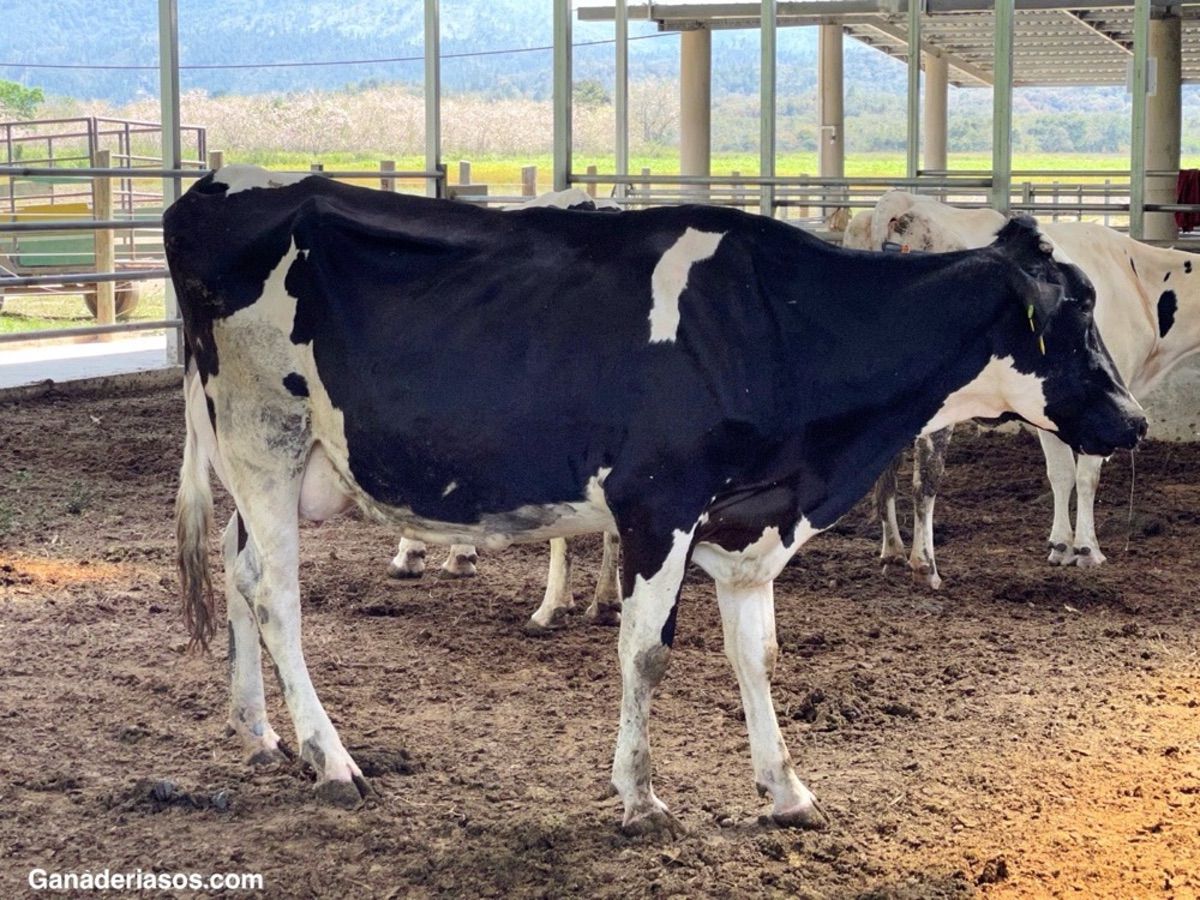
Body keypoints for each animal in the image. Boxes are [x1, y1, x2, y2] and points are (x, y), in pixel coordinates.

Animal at [169, 165, 1142, 835]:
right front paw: (638, 796)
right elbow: (645, 654)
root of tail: (212, 191)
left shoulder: (751, 523)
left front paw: (786, 789)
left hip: (277, 466)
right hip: (264, 437)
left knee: (240, 572)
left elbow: (756, 656)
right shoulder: (655, 503)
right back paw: (330, 758)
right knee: (277, 597)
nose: (1133, 420)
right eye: (1073, 316)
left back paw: (258, 731)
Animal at [849, 189, 1195, 585]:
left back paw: (892, 552)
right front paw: (1086, 549)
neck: (1138, 282)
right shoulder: (1093, 408)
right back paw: (925, 564)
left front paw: (1062, 546)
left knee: (885, 474)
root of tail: (901, 203)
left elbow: (1061, 474)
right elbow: (1084, 476)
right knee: (926, 479)